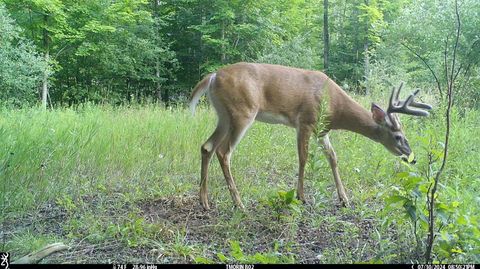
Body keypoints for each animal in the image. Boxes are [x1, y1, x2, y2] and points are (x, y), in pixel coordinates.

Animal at [188, 62, 432, 209]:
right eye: (398, 136)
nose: (412, 157)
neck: (335, 107)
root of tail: (213, 76)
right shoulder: (305, 122)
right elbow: (303, 158)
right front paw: (301, 196)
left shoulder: (322, 131)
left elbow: (333, 158)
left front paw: (344, 198)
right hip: (242, 112)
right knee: (223, 151)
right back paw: (238, 202)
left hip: (223, 115)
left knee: (206, 146)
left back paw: (204, 201)